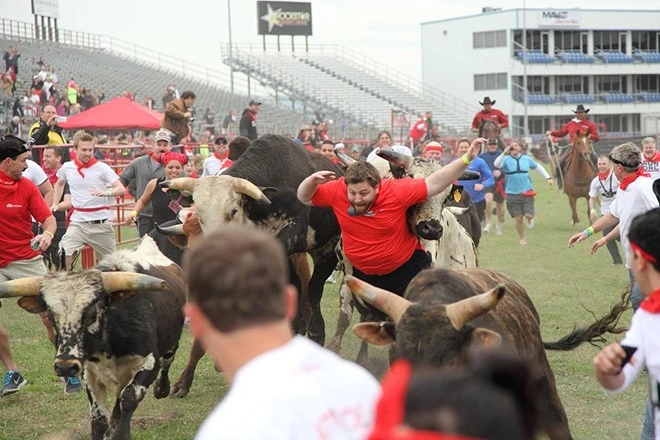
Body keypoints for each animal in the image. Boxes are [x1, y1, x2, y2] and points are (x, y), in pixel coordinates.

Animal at [0, 237, 184, 440]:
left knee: (167, 363)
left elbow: (128, 399)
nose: (65, 366)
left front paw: (120, 433)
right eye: (50, 317)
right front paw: (108, 429)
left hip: (171, 345)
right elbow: (99, 418)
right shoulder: (90, 374)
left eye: (92, 315)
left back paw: (162, 389)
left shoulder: (149, 362)